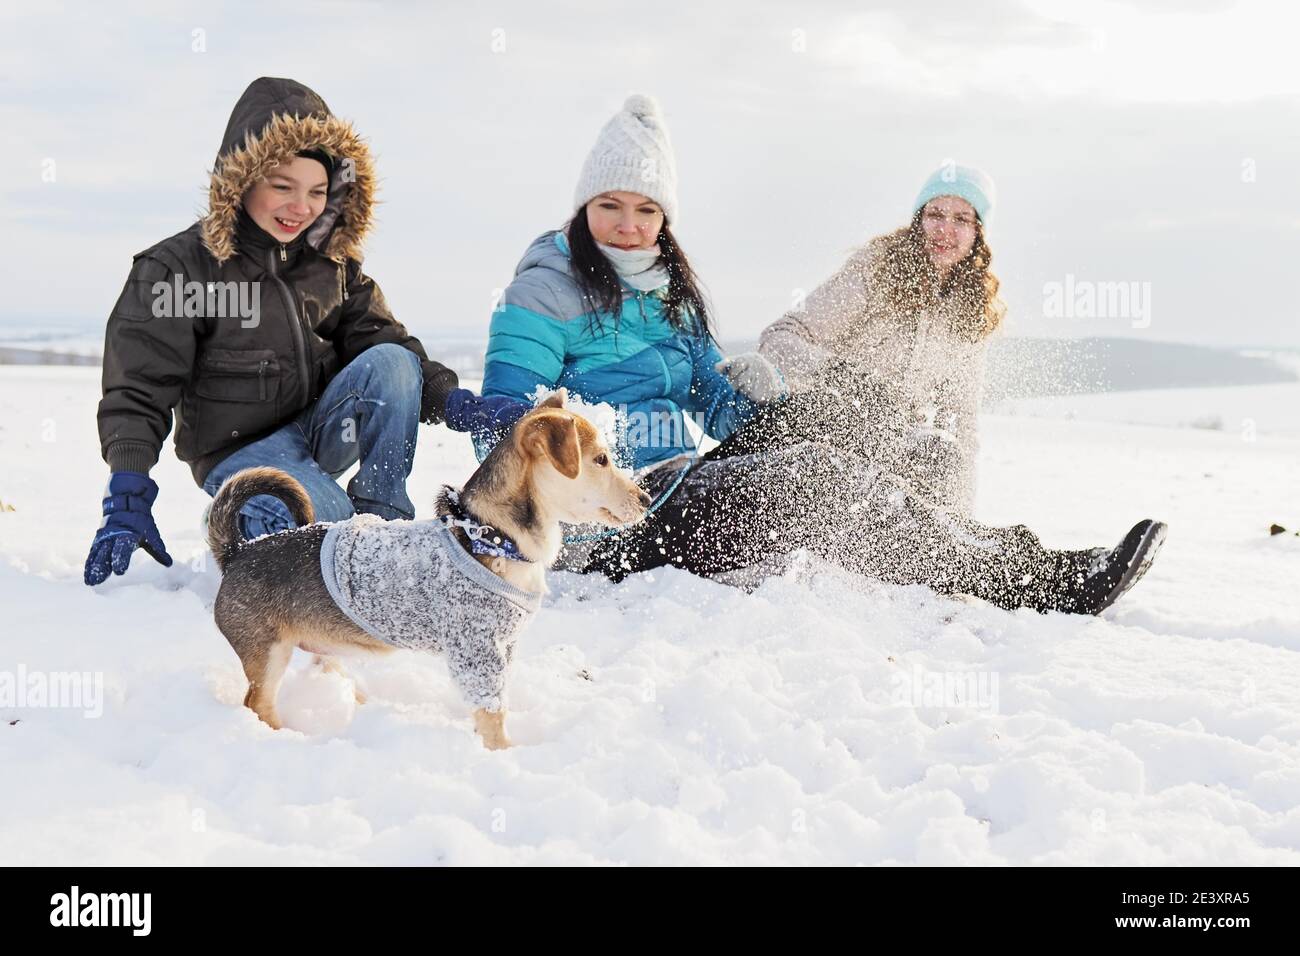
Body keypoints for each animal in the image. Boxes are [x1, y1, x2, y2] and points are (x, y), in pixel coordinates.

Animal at [208, 392, 650, 749]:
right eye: (601, 460)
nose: (647, 499)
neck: (491, 537)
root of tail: (238, 551)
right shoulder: (476, 650)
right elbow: (492, 712)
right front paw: (503, 755)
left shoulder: (504, 647)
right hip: (268, 653)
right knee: (257, 703)